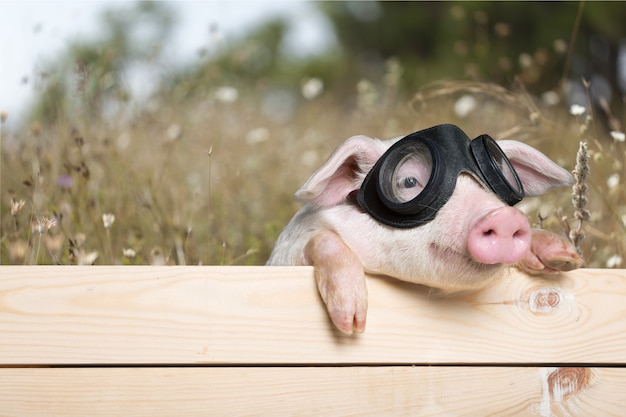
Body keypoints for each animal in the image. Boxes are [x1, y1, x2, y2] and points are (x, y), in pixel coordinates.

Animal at [266, 124, 580, 334]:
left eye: (492, 182)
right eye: (408, 181)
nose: (504, 217)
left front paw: (566, 256)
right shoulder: (287, 253)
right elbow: (323, 238)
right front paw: (353, 322)